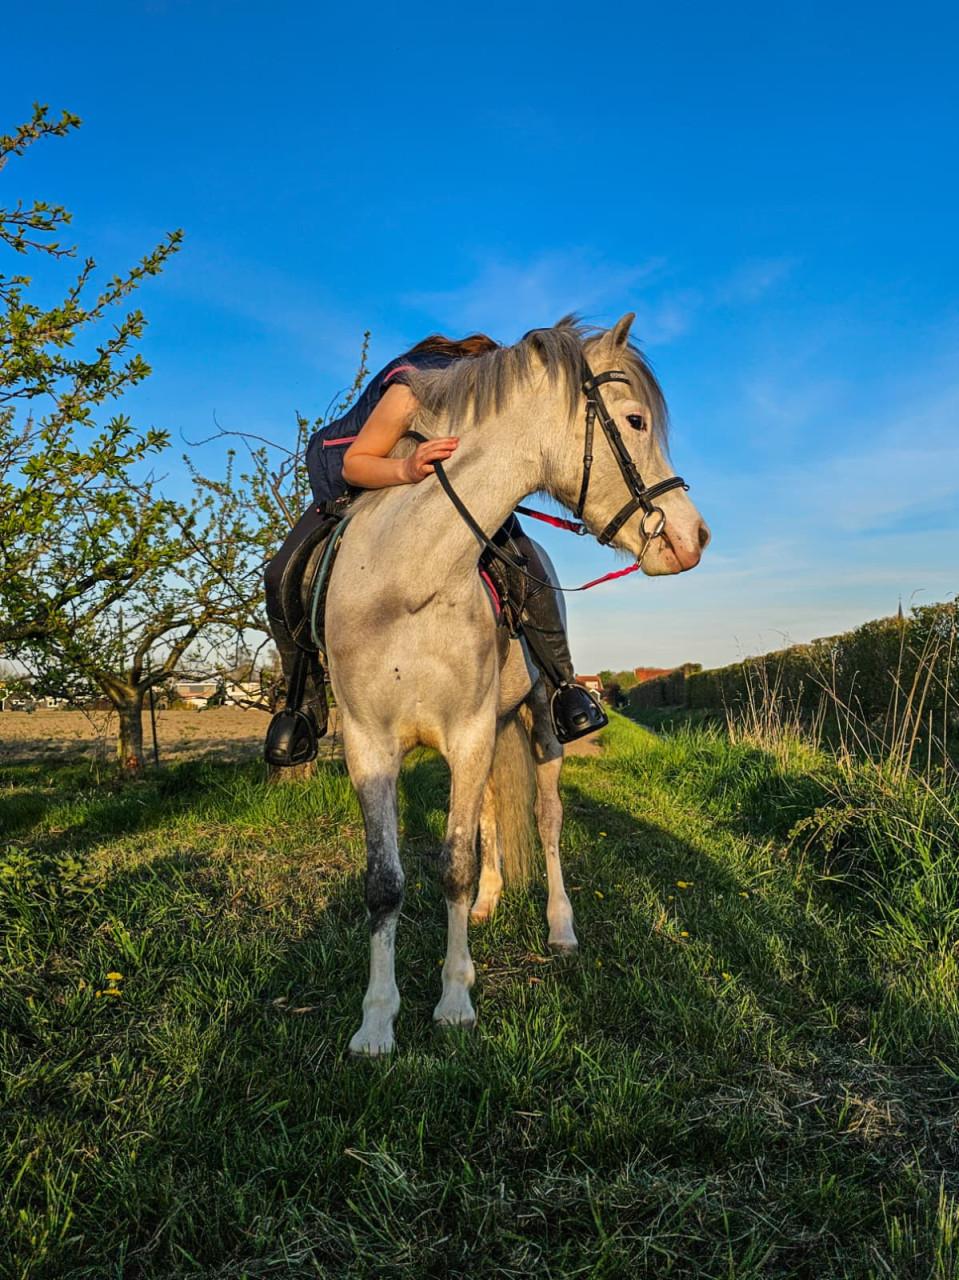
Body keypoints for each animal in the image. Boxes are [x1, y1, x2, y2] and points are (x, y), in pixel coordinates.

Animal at [324, 314, 709, 1055]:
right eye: (635, 420)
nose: (692, 536)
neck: (411, 577)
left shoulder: (472, 731)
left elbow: (453, 863)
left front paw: (452, 1001)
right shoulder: (370, 745)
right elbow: (387, 882)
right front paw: (376, 1022)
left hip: (538, 723)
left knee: (545, 818)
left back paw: (559, 927)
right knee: (488, 820)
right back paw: (488, 903)